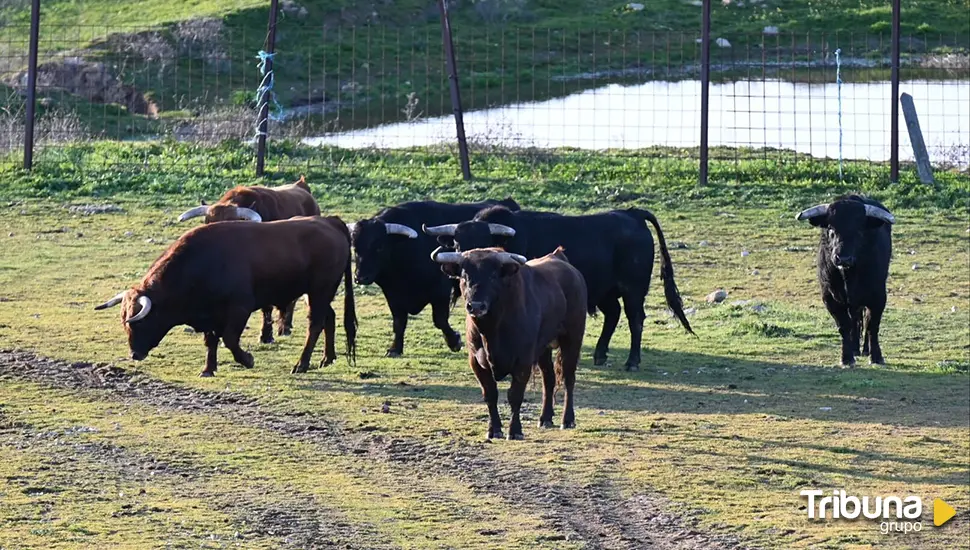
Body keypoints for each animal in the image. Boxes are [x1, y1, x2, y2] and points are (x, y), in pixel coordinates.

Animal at [91, 218, 352, 378]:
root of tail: (329, 221)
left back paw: (302, 364)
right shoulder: (209, 313)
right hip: (319, 294)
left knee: (315, 324)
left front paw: (247, 359)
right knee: (329, 318)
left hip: (319, 291)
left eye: (140, 322)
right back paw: (327, 358)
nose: (134, 354)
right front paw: (208, 369)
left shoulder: (239, 309)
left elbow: (229, 339)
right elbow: (211, 340)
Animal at [426, 206, 696, 370]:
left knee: (635, 319)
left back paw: (632, 361)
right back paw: (600, 355)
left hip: (633, 289)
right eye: (457, 243)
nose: (463, 263)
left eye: (484, 242)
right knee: (613, 314)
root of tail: (632, 214)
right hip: (605, 291)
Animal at [432, 248, 588, 442]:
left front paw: (515, 431)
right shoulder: (476, 362)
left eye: (493, 276)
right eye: (464, 275)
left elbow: (515, 396)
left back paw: (567, 420)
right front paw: (494, 429)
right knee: (549, 379)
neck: (492, 330)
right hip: (543, 348)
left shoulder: (523, 362)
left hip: (572, 339)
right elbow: (490, 394)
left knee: (568, 378)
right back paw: (545, 418)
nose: (475, 306)